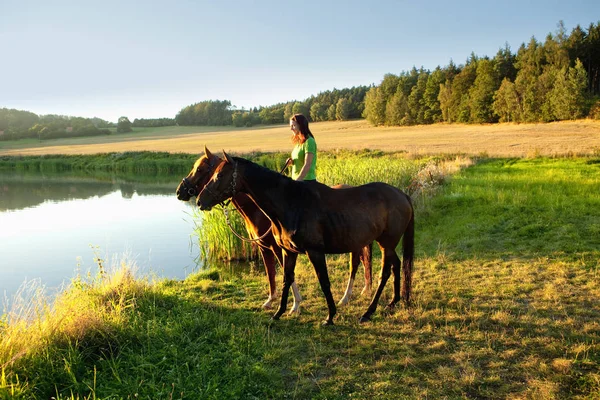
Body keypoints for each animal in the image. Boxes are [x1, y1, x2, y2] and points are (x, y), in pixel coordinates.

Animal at [176, 146, 370, 312]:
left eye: (200, 169)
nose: (180, 192)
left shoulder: (279, 248)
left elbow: (286, 274)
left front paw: (296, 304)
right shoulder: (264, 247)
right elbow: (270, 273)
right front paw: (270, 300)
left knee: (355, 264)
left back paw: (347, 296)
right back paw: (363, 290)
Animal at [199, 152, 414, 324]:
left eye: (218, 175)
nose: (200, 201)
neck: (291, 203)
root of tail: (402, 195)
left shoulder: (315, 252)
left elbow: (324, 282)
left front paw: (330, 316)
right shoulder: (288, 251)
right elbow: (287, 279)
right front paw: (279, 313)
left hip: (385, 244)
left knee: (384, 274)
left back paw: (368, 312)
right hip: (386, 245)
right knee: (396, 265)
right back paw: (393, 302)